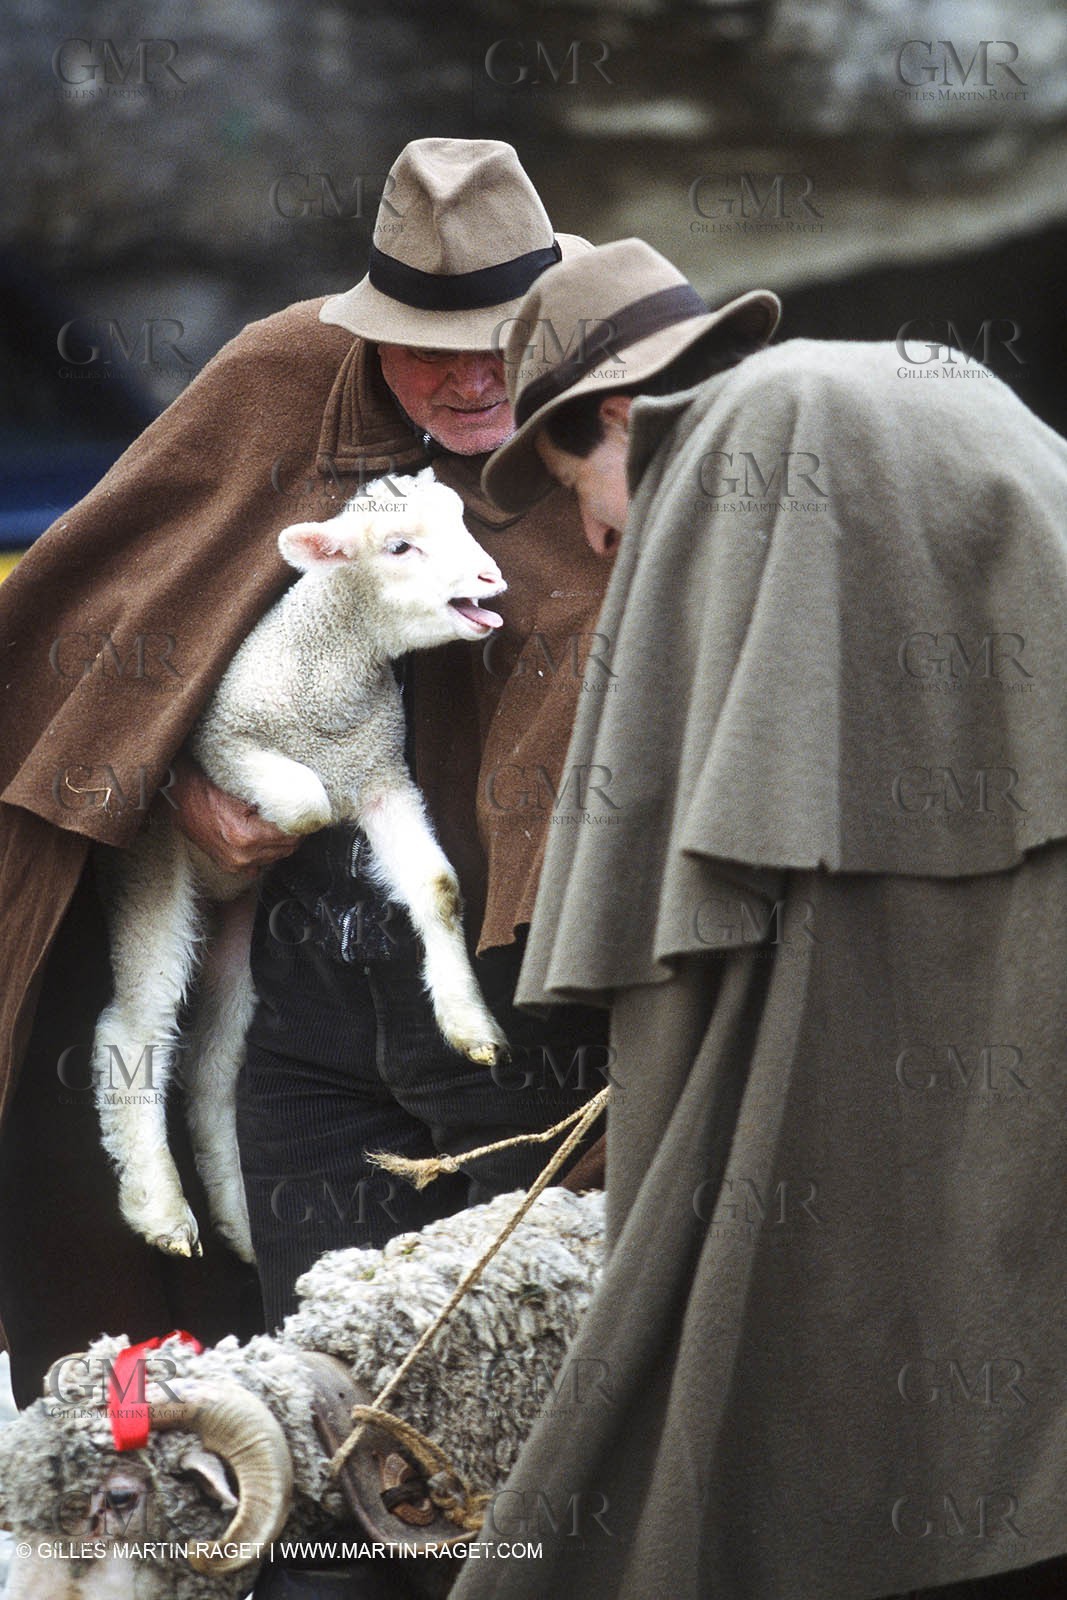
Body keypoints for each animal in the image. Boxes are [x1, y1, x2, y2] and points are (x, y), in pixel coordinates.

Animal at [92, 469, 510, 1267]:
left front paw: (467, 1023)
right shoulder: (224, 744)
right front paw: (289, 825)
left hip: (238, 937)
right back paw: (161, 1209)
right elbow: (308, 802)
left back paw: (238, 1220)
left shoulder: (380, 776)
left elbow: (437, 888)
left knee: (214, 1062)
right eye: (399, 546)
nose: (490, 580)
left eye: (462, 518)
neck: (326, 685)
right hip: (155, 870)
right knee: (135, 1030)